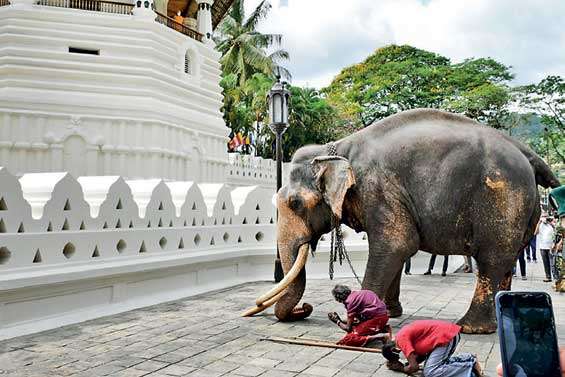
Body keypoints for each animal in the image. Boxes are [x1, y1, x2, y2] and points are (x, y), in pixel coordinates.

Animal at [247, 108, 560, 332]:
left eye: (295, 204)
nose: (306, 308)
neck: (337, 150)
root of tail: (528, 153)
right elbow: (397, 252)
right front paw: (390, 311)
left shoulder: (378, 189)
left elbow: (396, 244)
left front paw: (359, 318)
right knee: (508, 260)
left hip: (501, 199)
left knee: (492, 260)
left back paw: (470, 328)